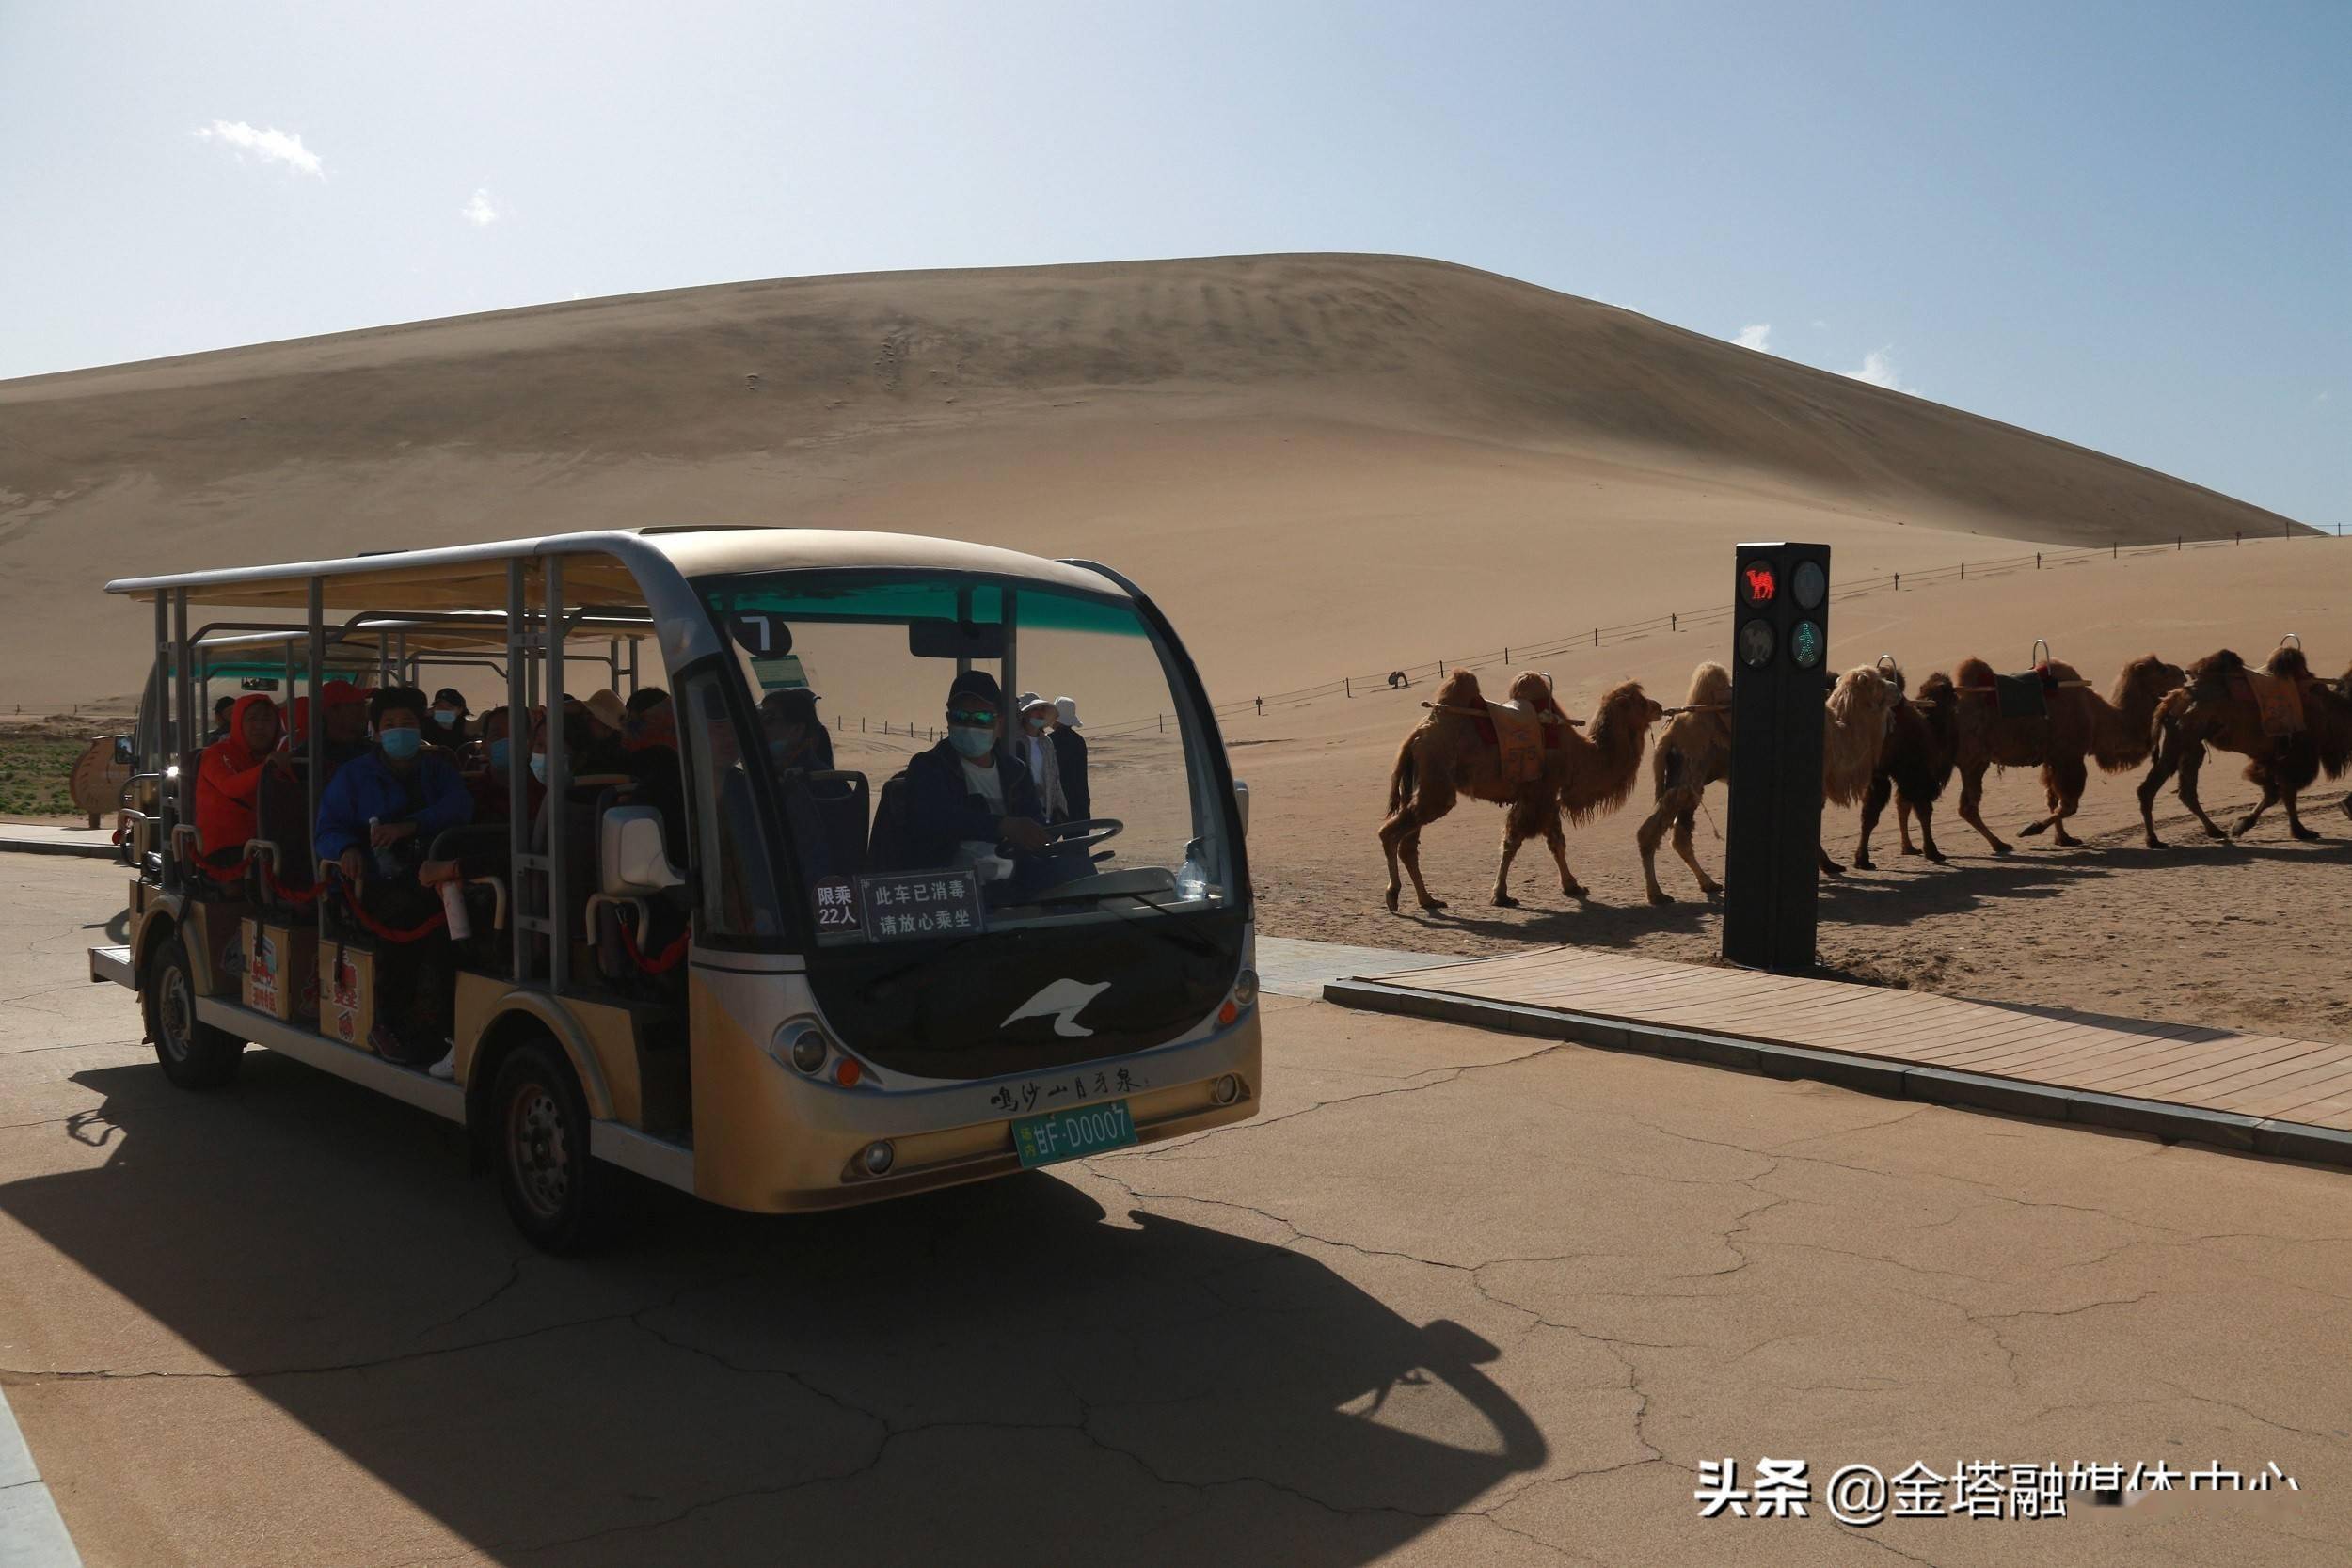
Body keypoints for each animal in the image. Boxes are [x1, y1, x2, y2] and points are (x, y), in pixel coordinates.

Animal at [1374, 667, 1675, 911]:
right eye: (1638, 702)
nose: (1659, 706)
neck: (1578, 754)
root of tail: (1416, 736)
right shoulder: (1539, 792)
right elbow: (1514, 840)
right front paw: (1501, 895)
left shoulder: (1548, 795)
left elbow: (1556, 841)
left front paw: (1572, 885)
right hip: (1436, 783)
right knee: (1390, 833)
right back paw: (1393, 894)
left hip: (1421, 784)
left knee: (1408, 844)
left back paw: (1428, 900)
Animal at [1844, 667, 1957, 879]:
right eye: (1952, 693)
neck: (1930, 729)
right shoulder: (1916, 773)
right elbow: (1923, 812)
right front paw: (1933, 851)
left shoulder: (1881, 775)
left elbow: (1871, 815)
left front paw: (1863, 860)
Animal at [1947, 653, 2183, 850]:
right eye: (2162, 669)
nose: (2182, 673)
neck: (2097, 717)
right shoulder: (2069, 756)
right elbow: (2069, 805)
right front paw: (2030, 829)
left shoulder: (2052, 758)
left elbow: (2052, 799)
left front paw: (2064, 839)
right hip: (1974, 759)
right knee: (1968, 806)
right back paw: (1999, 844)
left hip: (1973, 761)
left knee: (1966, 805)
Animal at [2136, 648, 2352, 850]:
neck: (2331, 712)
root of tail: (2172, 697)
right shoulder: (2295, 755)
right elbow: (2284, 793)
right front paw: (2299, 830)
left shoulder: (2273, 757)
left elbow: (2274, 793)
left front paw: (2242, 825)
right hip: (2182, 738)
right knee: (2150, 789)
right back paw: (2154, 840)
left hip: (2189, 745)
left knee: (2185, 791)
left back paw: (2213, 830)